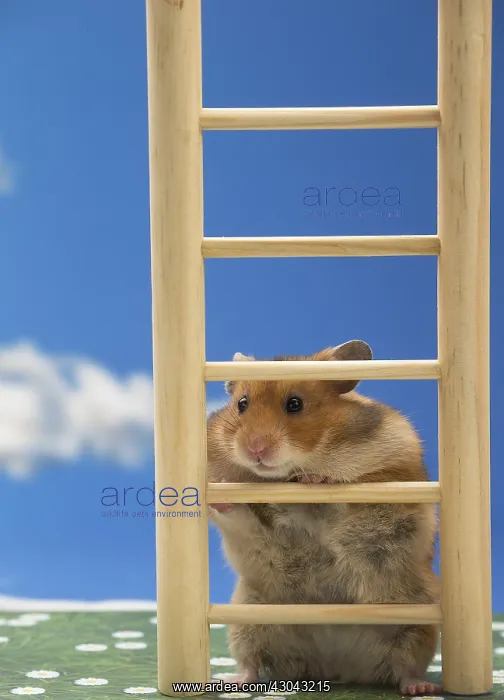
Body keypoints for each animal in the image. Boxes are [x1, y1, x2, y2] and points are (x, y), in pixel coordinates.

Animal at [207, 340, 440, 696]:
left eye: (295, 404)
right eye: (242, 404)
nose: (255, 450)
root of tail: (337, 668)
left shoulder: (396, 467)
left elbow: (355, 485)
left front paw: (316, 479)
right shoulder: (255, 529)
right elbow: (242, 518)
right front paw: (221, 493)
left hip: (417, 624)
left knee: (406, 668)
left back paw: (421, 687)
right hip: (249, 618)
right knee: (251, 662)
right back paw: (232, 682)